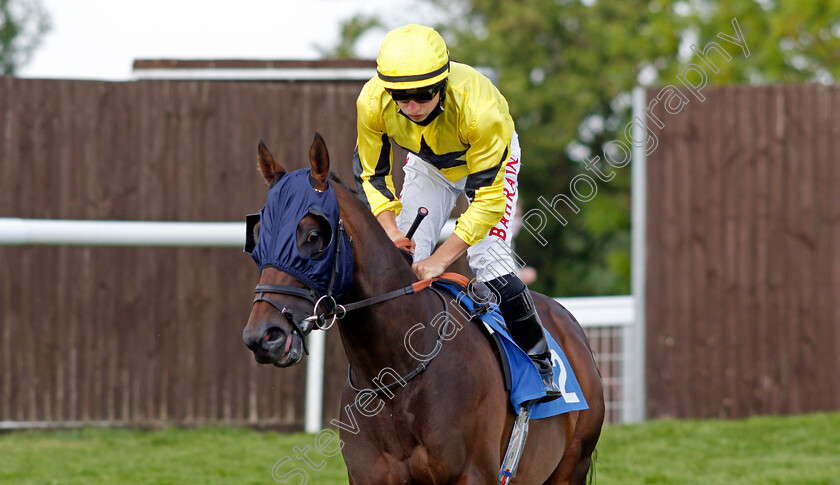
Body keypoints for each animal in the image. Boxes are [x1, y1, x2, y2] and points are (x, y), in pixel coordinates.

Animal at [241, 133, 604, 484]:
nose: (263, 336)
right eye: (257, 236)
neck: (397, 376)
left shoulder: (471, 475)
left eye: (314, 235)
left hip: (572, 464)